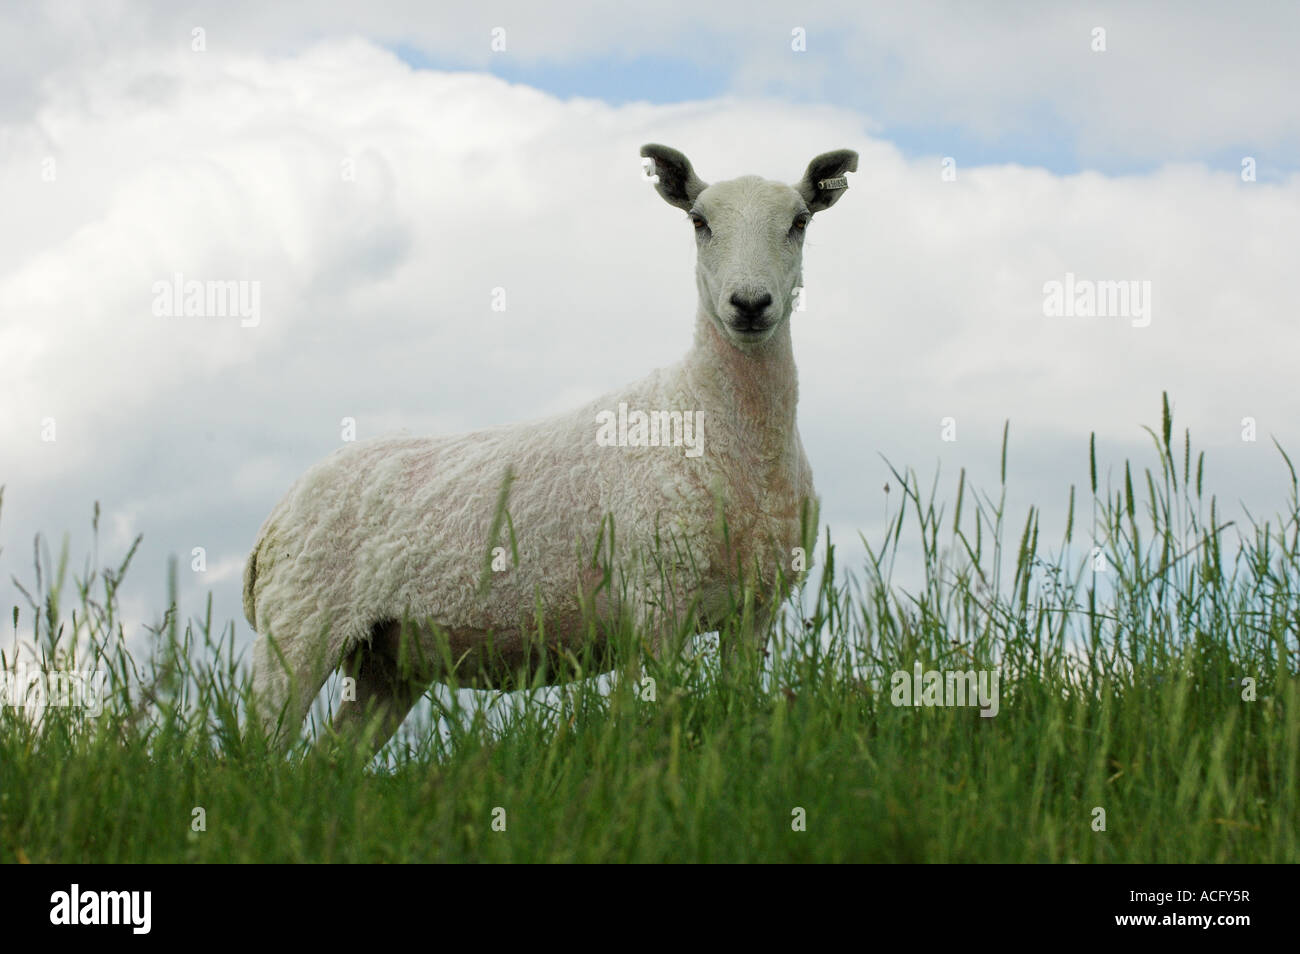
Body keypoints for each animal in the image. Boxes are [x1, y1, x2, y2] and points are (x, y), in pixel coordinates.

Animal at [244, 143, 857, 753]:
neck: (719, 424)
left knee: (331, 760)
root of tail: (275, 517)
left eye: (799, 222)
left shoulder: (756, 609)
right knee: (261, 752)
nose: (749, 304)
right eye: (699, 222)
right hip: (298, 625)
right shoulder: (656, 597)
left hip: (387, 659)